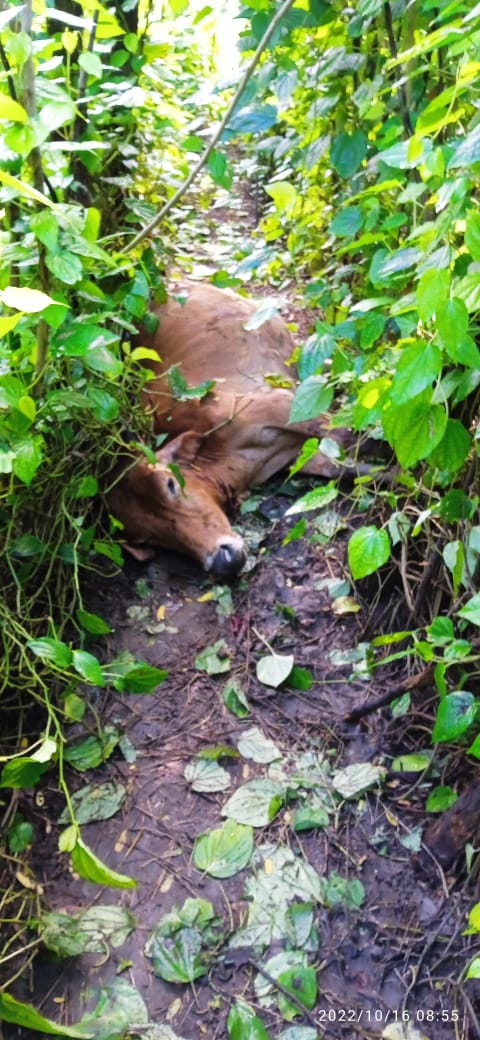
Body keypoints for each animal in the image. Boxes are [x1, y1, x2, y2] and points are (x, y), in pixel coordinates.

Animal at [107, 280, 365, 582]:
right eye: (149, 539)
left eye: (170, 484)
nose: (222, 560)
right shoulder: (298, 456)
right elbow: (352, 468)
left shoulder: (283, 405)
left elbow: (353, 434)